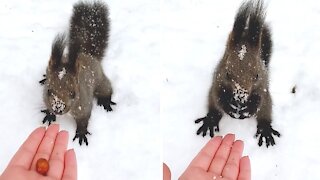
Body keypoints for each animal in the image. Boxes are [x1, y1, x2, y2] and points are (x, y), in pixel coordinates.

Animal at [39, 1, 115, 146]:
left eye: (73, 93)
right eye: (48, 91)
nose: (58, 109)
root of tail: (88, 54)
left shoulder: (84, 104)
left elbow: (84, 119)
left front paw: (81, 133)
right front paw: (50, 114)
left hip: (100, 80)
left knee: (107, 88)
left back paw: (105, 101)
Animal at [194, 0, 278, 148]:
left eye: (256, 76)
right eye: (227, 74)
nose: (241, 96)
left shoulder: (262, 84)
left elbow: (258, 99)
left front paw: (247, 111)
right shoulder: (218, 79)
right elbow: (219, 96)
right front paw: (231, 109)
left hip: (268, 101)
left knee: (264, 112)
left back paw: (265, 129)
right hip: (211, 96)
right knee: (214, 107)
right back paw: (211, 120)